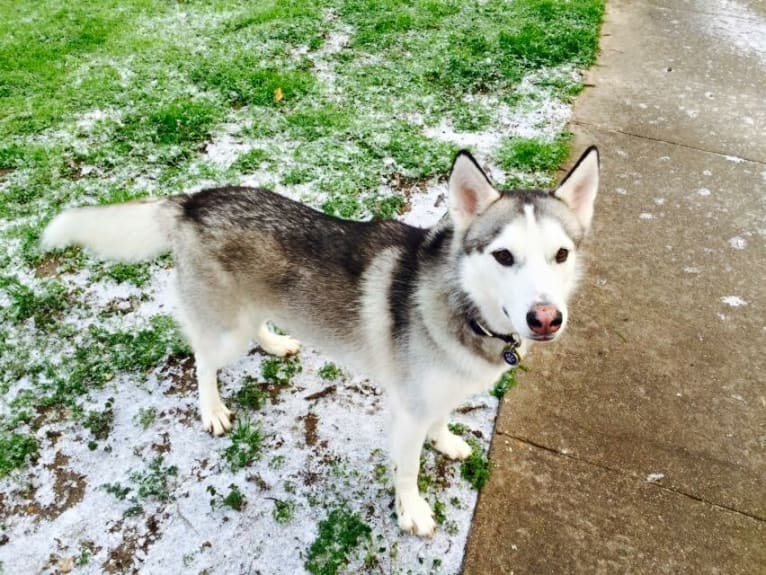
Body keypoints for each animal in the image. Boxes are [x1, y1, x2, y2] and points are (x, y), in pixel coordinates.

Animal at [43, 147, 600, 536]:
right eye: (504, 256)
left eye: (561, 254)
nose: (545, 319)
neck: (463, 306)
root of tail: (193, 201)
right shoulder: (407, 410)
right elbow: (407, 469)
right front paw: (412, 511)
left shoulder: (439, 392)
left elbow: (441, 421)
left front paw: (446, 442)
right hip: (224, 330)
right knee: (202, 359)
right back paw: (212, 409)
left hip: (251, 307)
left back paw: (274, 344)